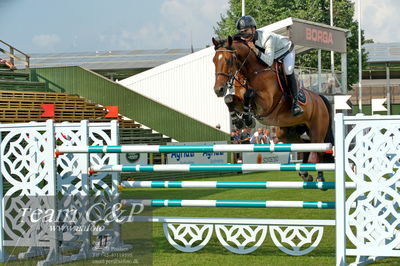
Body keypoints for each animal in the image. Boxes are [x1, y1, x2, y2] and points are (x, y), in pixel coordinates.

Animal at [212, 35, 334, 183]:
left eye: (229, 61)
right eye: (213, 60)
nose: (218, 89)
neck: (251, 72)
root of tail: (320, 98)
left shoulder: (266, 103)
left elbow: (249, 94)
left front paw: (248, 119)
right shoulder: (240, 99)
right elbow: (229, 99)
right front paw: (238, 120)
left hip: (317, 130)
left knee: (318, 149)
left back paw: (320, 178)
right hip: (286, 133)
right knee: (305, 145)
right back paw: (305, 173)